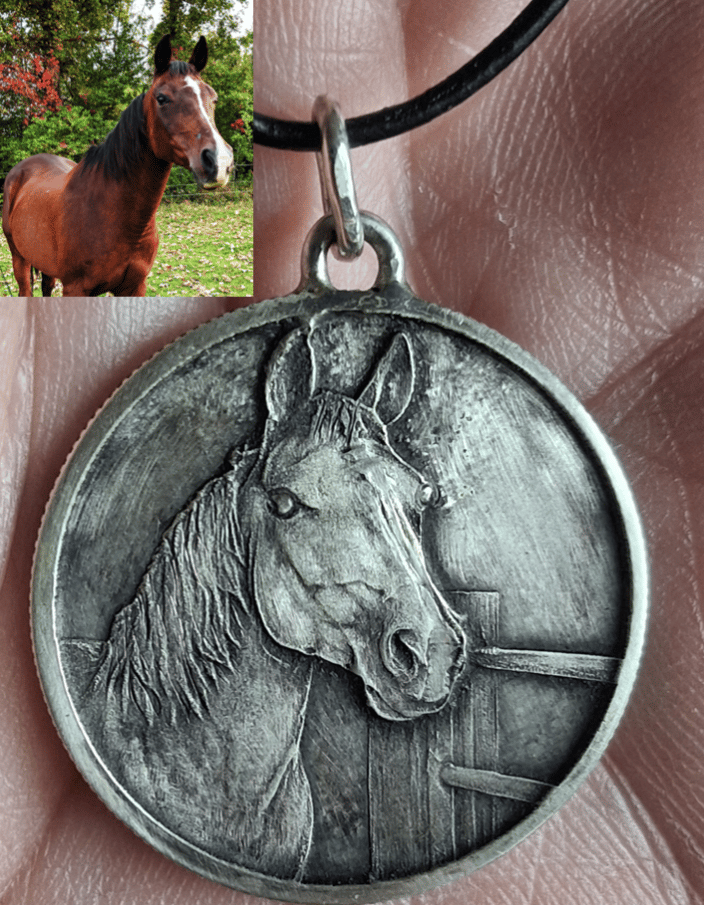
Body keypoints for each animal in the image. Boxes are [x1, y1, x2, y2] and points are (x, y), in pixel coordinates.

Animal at [1, 34, 233, 297]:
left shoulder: (135, 286)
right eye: (161, 98)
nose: (219, 160)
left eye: (213, 98)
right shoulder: (75, 289)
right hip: (19, 259)